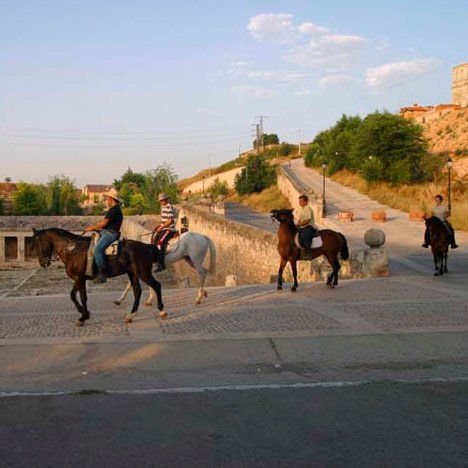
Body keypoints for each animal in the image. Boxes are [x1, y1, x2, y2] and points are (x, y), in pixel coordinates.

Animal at [32, 228, 166, 326]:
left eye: (38, 243)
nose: (42, 263)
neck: (73, 250)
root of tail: (147, 246)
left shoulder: (80, 278)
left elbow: (82, 297)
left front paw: (83, 316)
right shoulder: (78, 278)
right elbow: (73, 295)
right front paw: (83, 312)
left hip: (143, 273)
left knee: (156, 285)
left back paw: (162, 311)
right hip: (132, 273)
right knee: (137, 291)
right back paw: (130, 315)